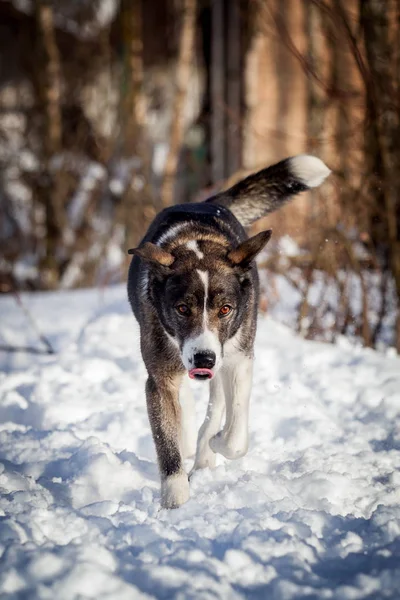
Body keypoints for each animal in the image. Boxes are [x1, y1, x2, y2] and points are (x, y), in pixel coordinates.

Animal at [129, 154, 332, 506]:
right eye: (182, 309)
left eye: (225, 309)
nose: (203, 359)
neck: (197, 243)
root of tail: (207, 202)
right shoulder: (160, 376)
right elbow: (166, 440)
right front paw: (175, 498)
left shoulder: (237, 358)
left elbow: (236, 437)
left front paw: (216, 443)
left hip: (222, 362)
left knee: (216, 408)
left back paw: (205, 451)